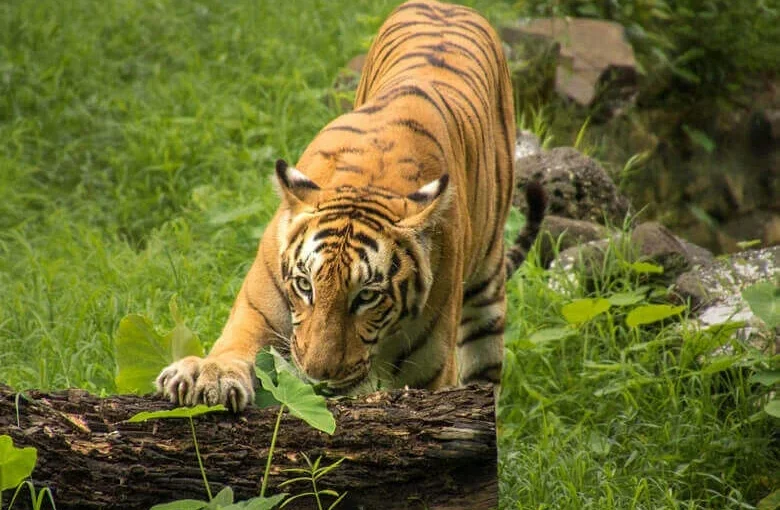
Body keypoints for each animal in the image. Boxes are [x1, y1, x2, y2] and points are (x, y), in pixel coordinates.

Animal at [156, 0, 547, 411]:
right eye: (305, 286)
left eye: (367, 296)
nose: (317, 375)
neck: (370, 181)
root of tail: (448, 6)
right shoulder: (258, 310)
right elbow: (235, 345)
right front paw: (207, 375)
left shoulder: (431, 368)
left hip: (487, 293)